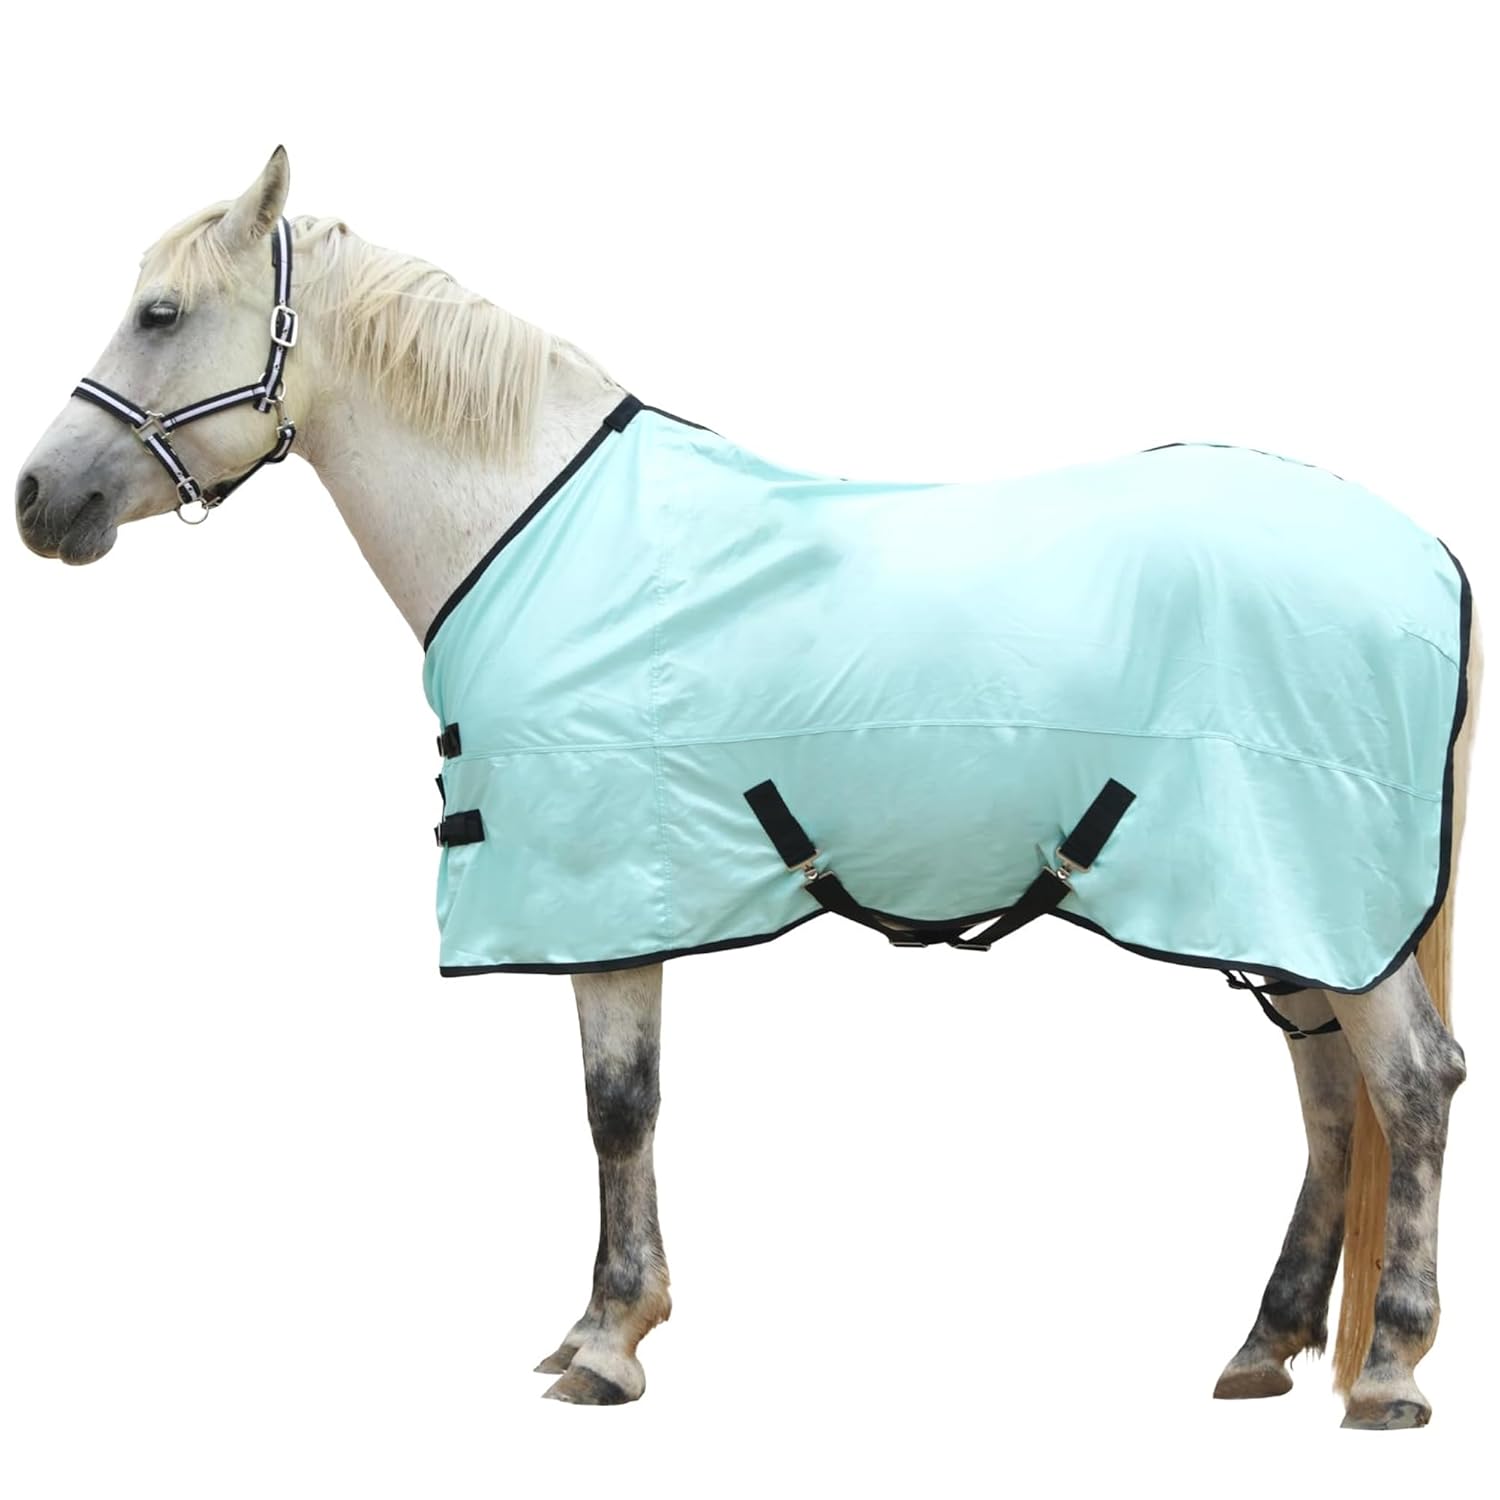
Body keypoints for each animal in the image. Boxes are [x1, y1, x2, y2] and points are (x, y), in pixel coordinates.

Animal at [14, 147, 1481, 1426]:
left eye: (159, 314)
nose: (37, 497)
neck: (535, 525)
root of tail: (1429, 557)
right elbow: (618, 1104)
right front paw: (599, 1324)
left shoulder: (605, 889)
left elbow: (618, 1106)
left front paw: (609, 1343)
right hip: (1279, 909)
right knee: (1330, 1094)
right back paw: (1266, 1345)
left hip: (1315, 897)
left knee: (1412, 1083)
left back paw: (1389, 1370)